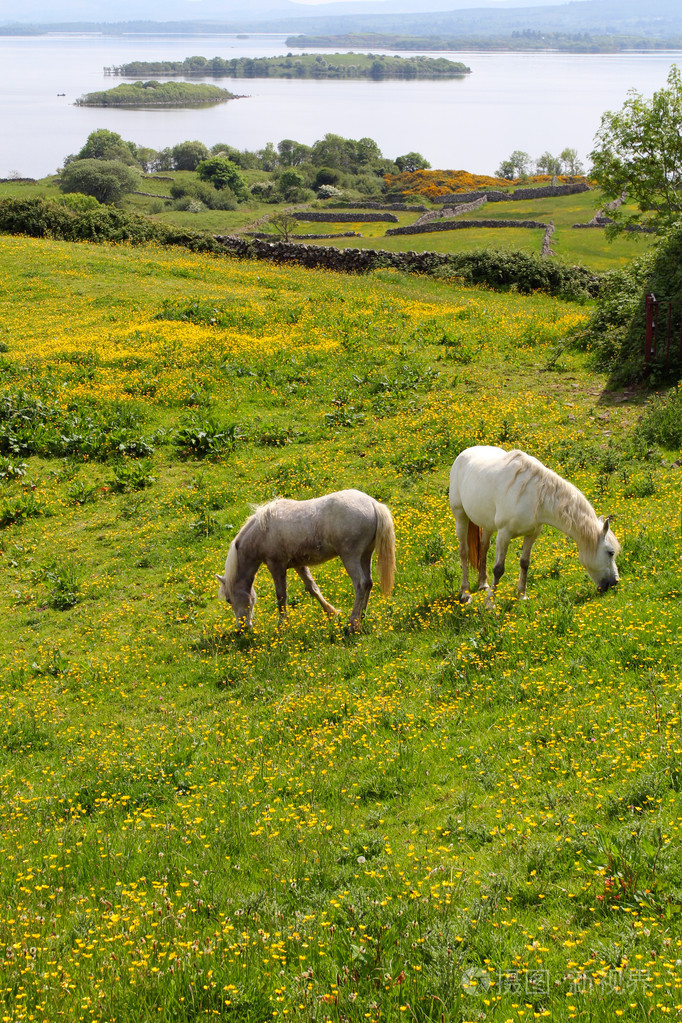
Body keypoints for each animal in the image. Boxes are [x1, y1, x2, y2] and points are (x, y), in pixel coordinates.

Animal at [216, 489, 396, 631]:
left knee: (361, 584)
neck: (262, 531)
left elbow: (281, 596)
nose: (242, 628)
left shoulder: (276, 567)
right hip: (365, 555)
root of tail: (373, 504)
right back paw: (362, 616)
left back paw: (353, 624)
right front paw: (331, 612)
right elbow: (312, 588)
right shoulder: (299, 565)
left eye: (229, 600)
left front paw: (282, 626)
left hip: (350, 557)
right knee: (369, 583)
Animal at [448, 446, 620, 602]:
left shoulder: (532, 533)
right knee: (464, 552)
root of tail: (465, 452)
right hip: (460, 515)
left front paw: (522, 595)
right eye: (611, 552)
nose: (614, 582)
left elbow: (525, 563)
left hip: (487, 522)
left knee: (483, 547)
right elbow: (498, 569)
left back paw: (483, 584)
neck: (536, 496)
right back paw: (466, 593)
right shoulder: (504, 533)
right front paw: (490, 603)